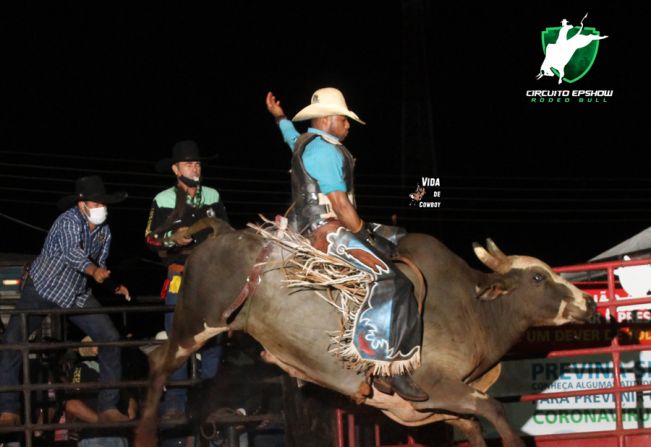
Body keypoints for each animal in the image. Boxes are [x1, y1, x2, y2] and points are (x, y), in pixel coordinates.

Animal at [135, 220, 600, 447]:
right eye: (538, 278)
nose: (590, 303)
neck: (475, 308)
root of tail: (220, 235)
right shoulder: (433, 385)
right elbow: (494, 410)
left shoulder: (431, 407)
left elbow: (471, 426)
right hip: (197, 321)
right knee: (159, 363)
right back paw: (145, 436)